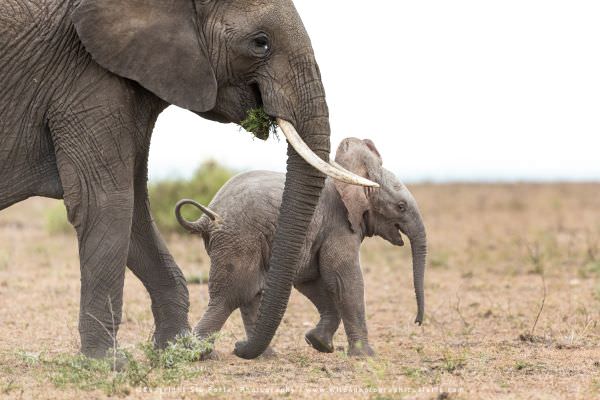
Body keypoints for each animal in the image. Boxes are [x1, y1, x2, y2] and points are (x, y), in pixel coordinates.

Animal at [0, 0, 376, 358]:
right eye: (260, 43)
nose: (240, 349)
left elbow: (135, 210)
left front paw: (178, 350)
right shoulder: (85, 80)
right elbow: (108, 202)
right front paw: (108, 362)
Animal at [173, 138, 426, 356]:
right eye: (401, 206)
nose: (417, 321)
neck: (351, 176)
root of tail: (208, 216)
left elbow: (311, 279)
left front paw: (318, 343)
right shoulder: (338, 225)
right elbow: (344, 280)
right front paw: (365, 356)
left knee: (251, 292)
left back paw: (261, 354)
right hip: (240, 237)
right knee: (233, 294)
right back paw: (202, 354)